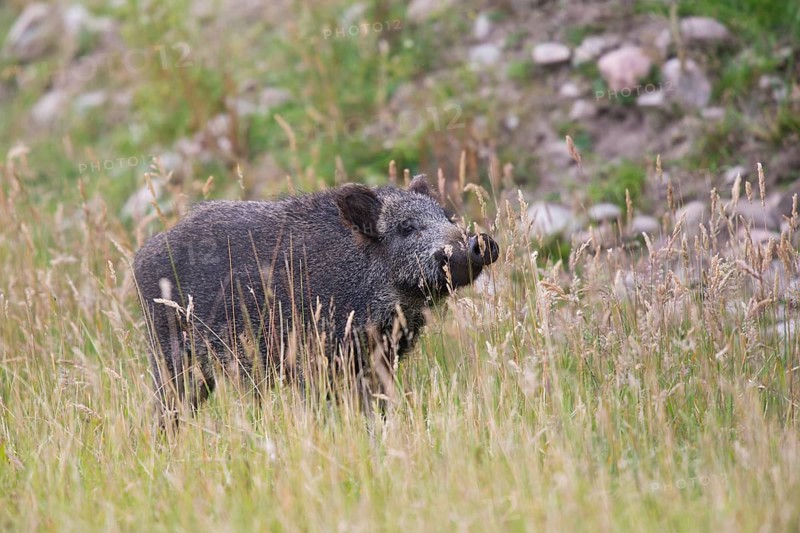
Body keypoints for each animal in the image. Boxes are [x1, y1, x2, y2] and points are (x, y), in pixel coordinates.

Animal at [133, 175, 499, 423]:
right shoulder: (313, 357)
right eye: (406, 227)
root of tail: (139, 260)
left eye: (447, 217)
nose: (479, 242)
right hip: (171, 357)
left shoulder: (377, 362)